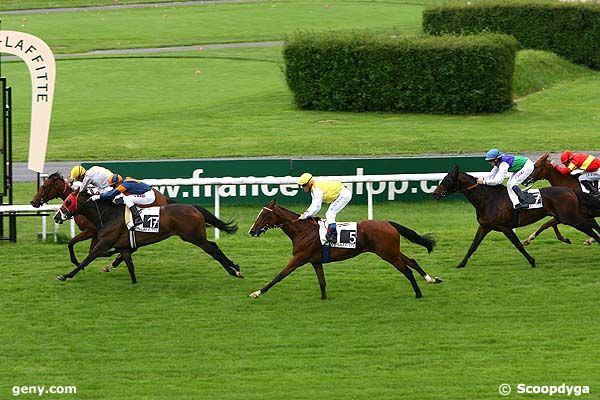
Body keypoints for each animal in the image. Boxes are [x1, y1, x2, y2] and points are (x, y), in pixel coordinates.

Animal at [31, 170, 170, 268]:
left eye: (45, 186)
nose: (33, 202)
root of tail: (164, 198)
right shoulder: (96, 233)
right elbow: (81, 247)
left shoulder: (92, 231)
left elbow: (76, 245)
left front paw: (77, 262)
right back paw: (116, 261)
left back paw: (115, 261)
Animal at [51, 190, 239, 282]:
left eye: (68, 201)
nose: (56, 216)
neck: (108, 215)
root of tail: (193, 208)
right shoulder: (123, 247)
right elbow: (130, 266)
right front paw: (134, 283)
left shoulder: (103, 243)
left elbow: (88, 258)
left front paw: (66, 275)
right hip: (195, 237)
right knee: (214, 246)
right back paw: (235, 266)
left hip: (194, 237)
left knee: (213, 250)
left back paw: (233, 271)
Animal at [245, 200, 440, 300]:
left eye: (264, 215)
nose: (252, 231)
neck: (302, 231)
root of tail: (388, 223)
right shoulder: (315, 261)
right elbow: (322, 282)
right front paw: (324, 298)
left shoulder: (299, 258)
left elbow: (279, 275)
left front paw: (257, 292)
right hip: (392, 251)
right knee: (412, 262)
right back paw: (431, 279)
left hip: (388, 254)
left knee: (407, 270)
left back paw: (418, 293)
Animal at [432, 166, 600, 268]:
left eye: (447, 180)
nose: (435, 193)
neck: (488, 200)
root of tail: (570, 190)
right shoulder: (485, 226)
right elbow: (473, 245)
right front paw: (461, 264)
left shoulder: (505, 227)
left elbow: (518, 244)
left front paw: (532, 261)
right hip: (570, 216)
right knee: (591, 225)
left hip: (571, 218)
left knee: (590, 228)